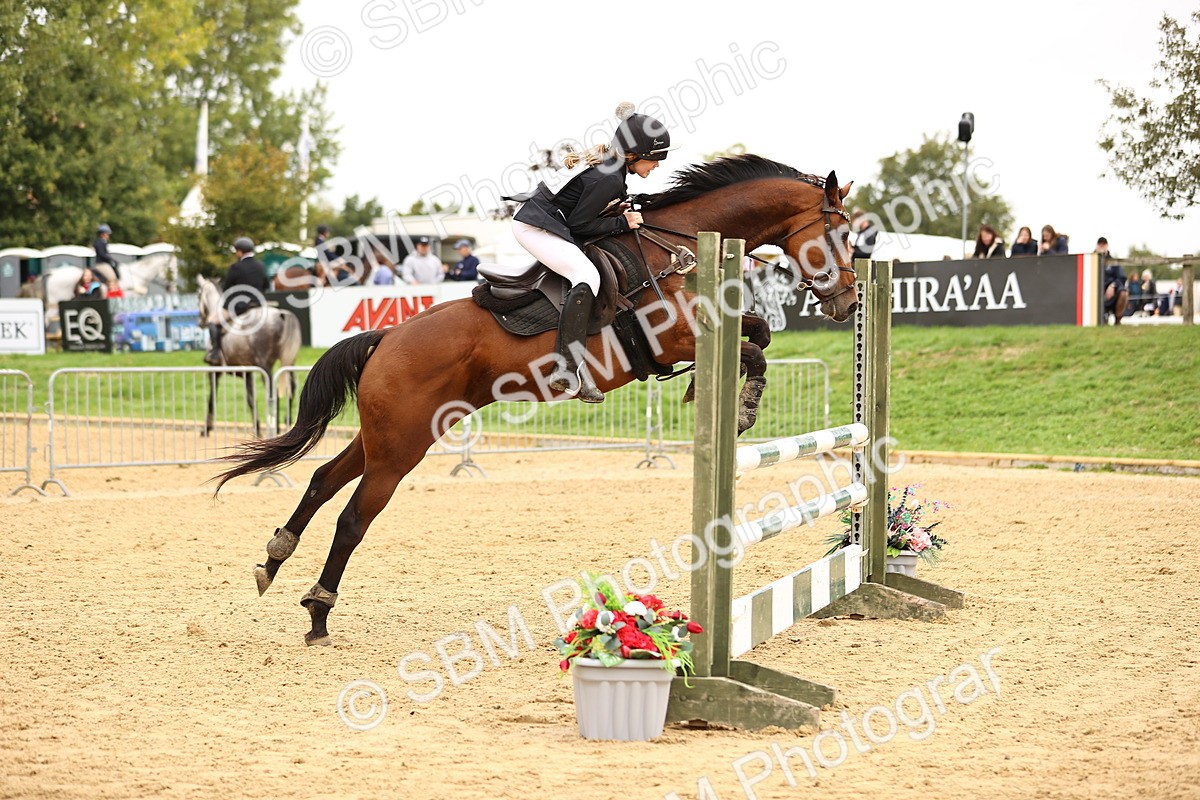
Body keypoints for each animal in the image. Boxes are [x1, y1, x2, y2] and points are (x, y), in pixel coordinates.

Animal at [197, 276, 303, 438]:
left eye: (198, 295)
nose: (200, 322)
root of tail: (281, 314)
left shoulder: (214, 370)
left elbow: (212, 399)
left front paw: (206, 429)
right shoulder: (247, 372)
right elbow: (251, 399)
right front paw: (257, 428)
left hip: (265, 365)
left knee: (272, 392)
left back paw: (276, 426)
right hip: (289, 362)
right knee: (290, 388)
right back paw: (286, 424)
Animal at [211, 155, 859, 646]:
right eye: (843, 233)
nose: (848, 303)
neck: (677, 252)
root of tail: (387, 337)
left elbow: (761, 334)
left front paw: (717, 391)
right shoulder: (673, 337)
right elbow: (755, 349)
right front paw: (741, 406)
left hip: (389, 434)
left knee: (323, 479)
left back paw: (273, 560)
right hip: (400, 446)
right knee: (352, 518)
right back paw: (319, 609)